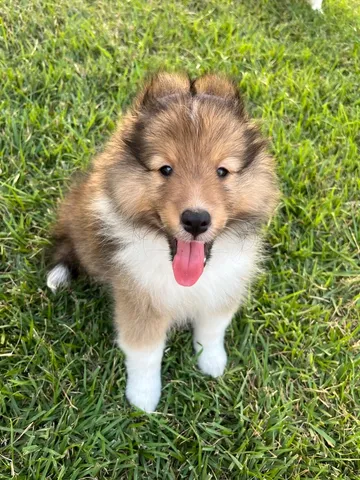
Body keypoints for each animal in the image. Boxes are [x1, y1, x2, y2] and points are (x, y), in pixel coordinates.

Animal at [46, 72, 280, 412]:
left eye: (222, 171)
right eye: (166, 169)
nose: (195, 220)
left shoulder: (222, 287)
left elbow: (212, 329)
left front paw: (212, 363)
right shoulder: (139, 299)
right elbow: (145, 353)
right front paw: (143, 398)